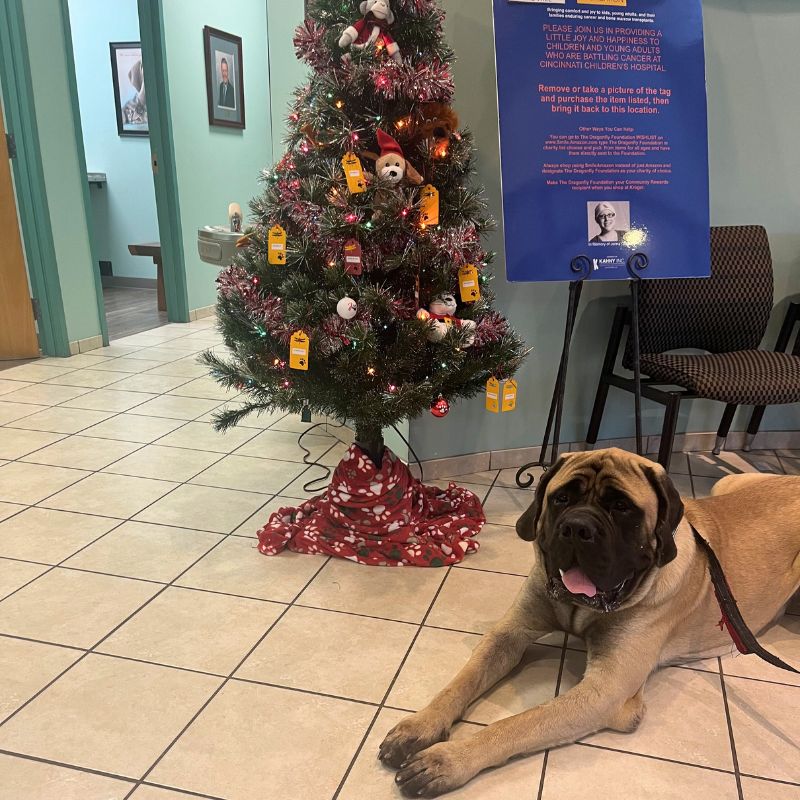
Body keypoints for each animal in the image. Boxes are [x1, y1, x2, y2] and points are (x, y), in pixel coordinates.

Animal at [376, 446, 800, 796]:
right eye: (561, 498)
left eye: (622, 507)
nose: (577, 527)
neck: (583, 610)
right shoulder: (509, 633)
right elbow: (461, 682)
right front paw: (419, 726)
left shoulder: (605, 691)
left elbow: (521, 722)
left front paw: (447, 760)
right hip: (727, 482)